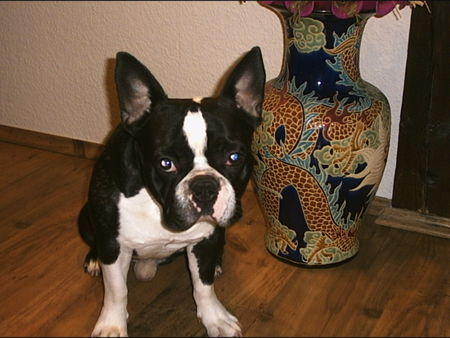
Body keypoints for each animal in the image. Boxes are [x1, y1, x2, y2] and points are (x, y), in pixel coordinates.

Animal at [78, 46, 266, 336]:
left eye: (234, 157)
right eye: (166, 164)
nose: (204, 187)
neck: (155, 204)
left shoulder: (206, 239)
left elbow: (203, 285)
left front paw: (214, 318)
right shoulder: (113, 243)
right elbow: (117, 291)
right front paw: (111, 325)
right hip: (86, 218)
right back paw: (94, 260)